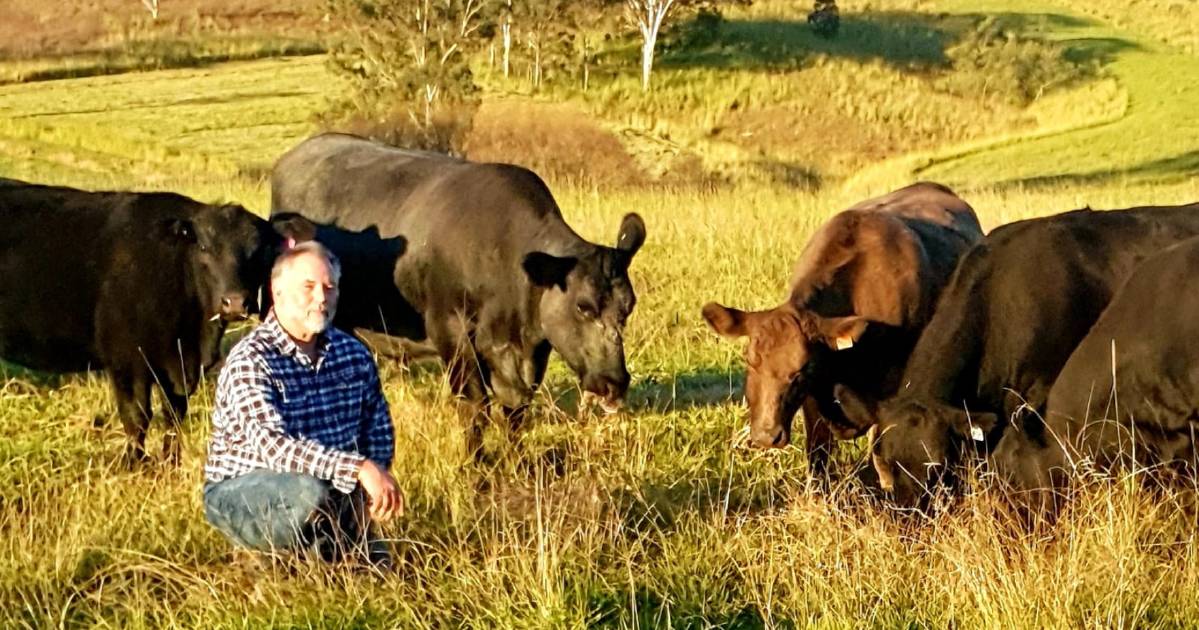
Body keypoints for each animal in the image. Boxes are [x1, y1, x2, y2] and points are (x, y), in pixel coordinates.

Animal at [0, 180, 314, 460]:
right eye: (204, 248)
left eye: (259, 251)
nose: (235, 302)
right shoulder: (128, 361)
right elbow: (137, 417)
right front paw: (135, 463)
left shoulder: (181, 366)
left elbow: (173, 415)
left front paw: (170, 460)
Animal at [272, 132, 647, 448]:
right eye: (583, 306)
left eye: (628, 307)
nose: (614, 382)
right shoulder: (450, 329)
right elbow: (474, 406)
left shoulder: (531, 350)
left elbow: (515, 408)